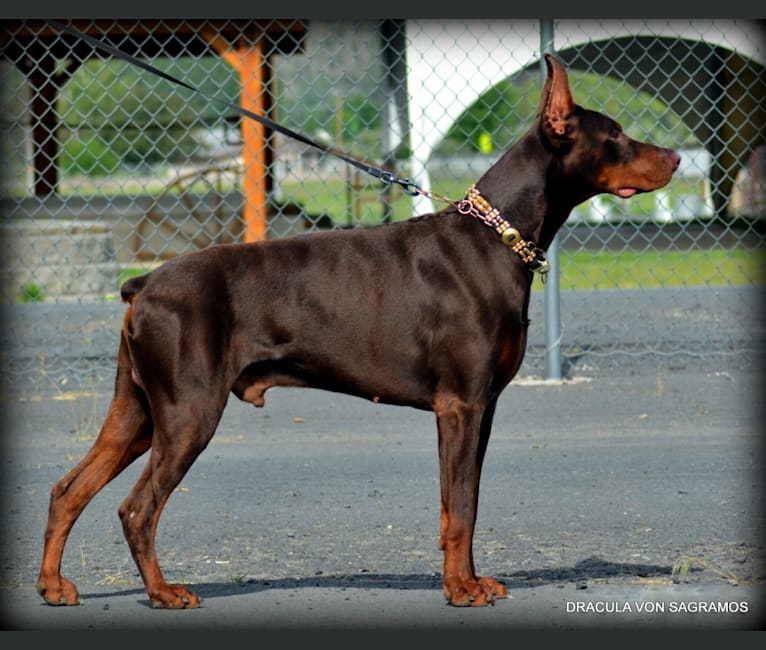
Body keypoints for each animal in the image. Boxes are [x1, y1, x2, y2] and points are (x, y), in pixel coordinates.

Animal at [37, 55, 684, 608]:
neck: (495, 239)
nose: (677, 158)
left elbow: (466, 504)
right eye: (616, 135)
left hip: (139, 410)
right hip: (188, 410)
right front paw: (460, 589)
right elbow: (459, 508)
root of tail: (144, 282)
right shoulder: (460, 405)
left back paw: (53, 585)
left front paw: (471, 580)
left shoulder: (485, 408)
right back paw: (163, 592)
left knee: (68, 488)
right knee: (137, 508)